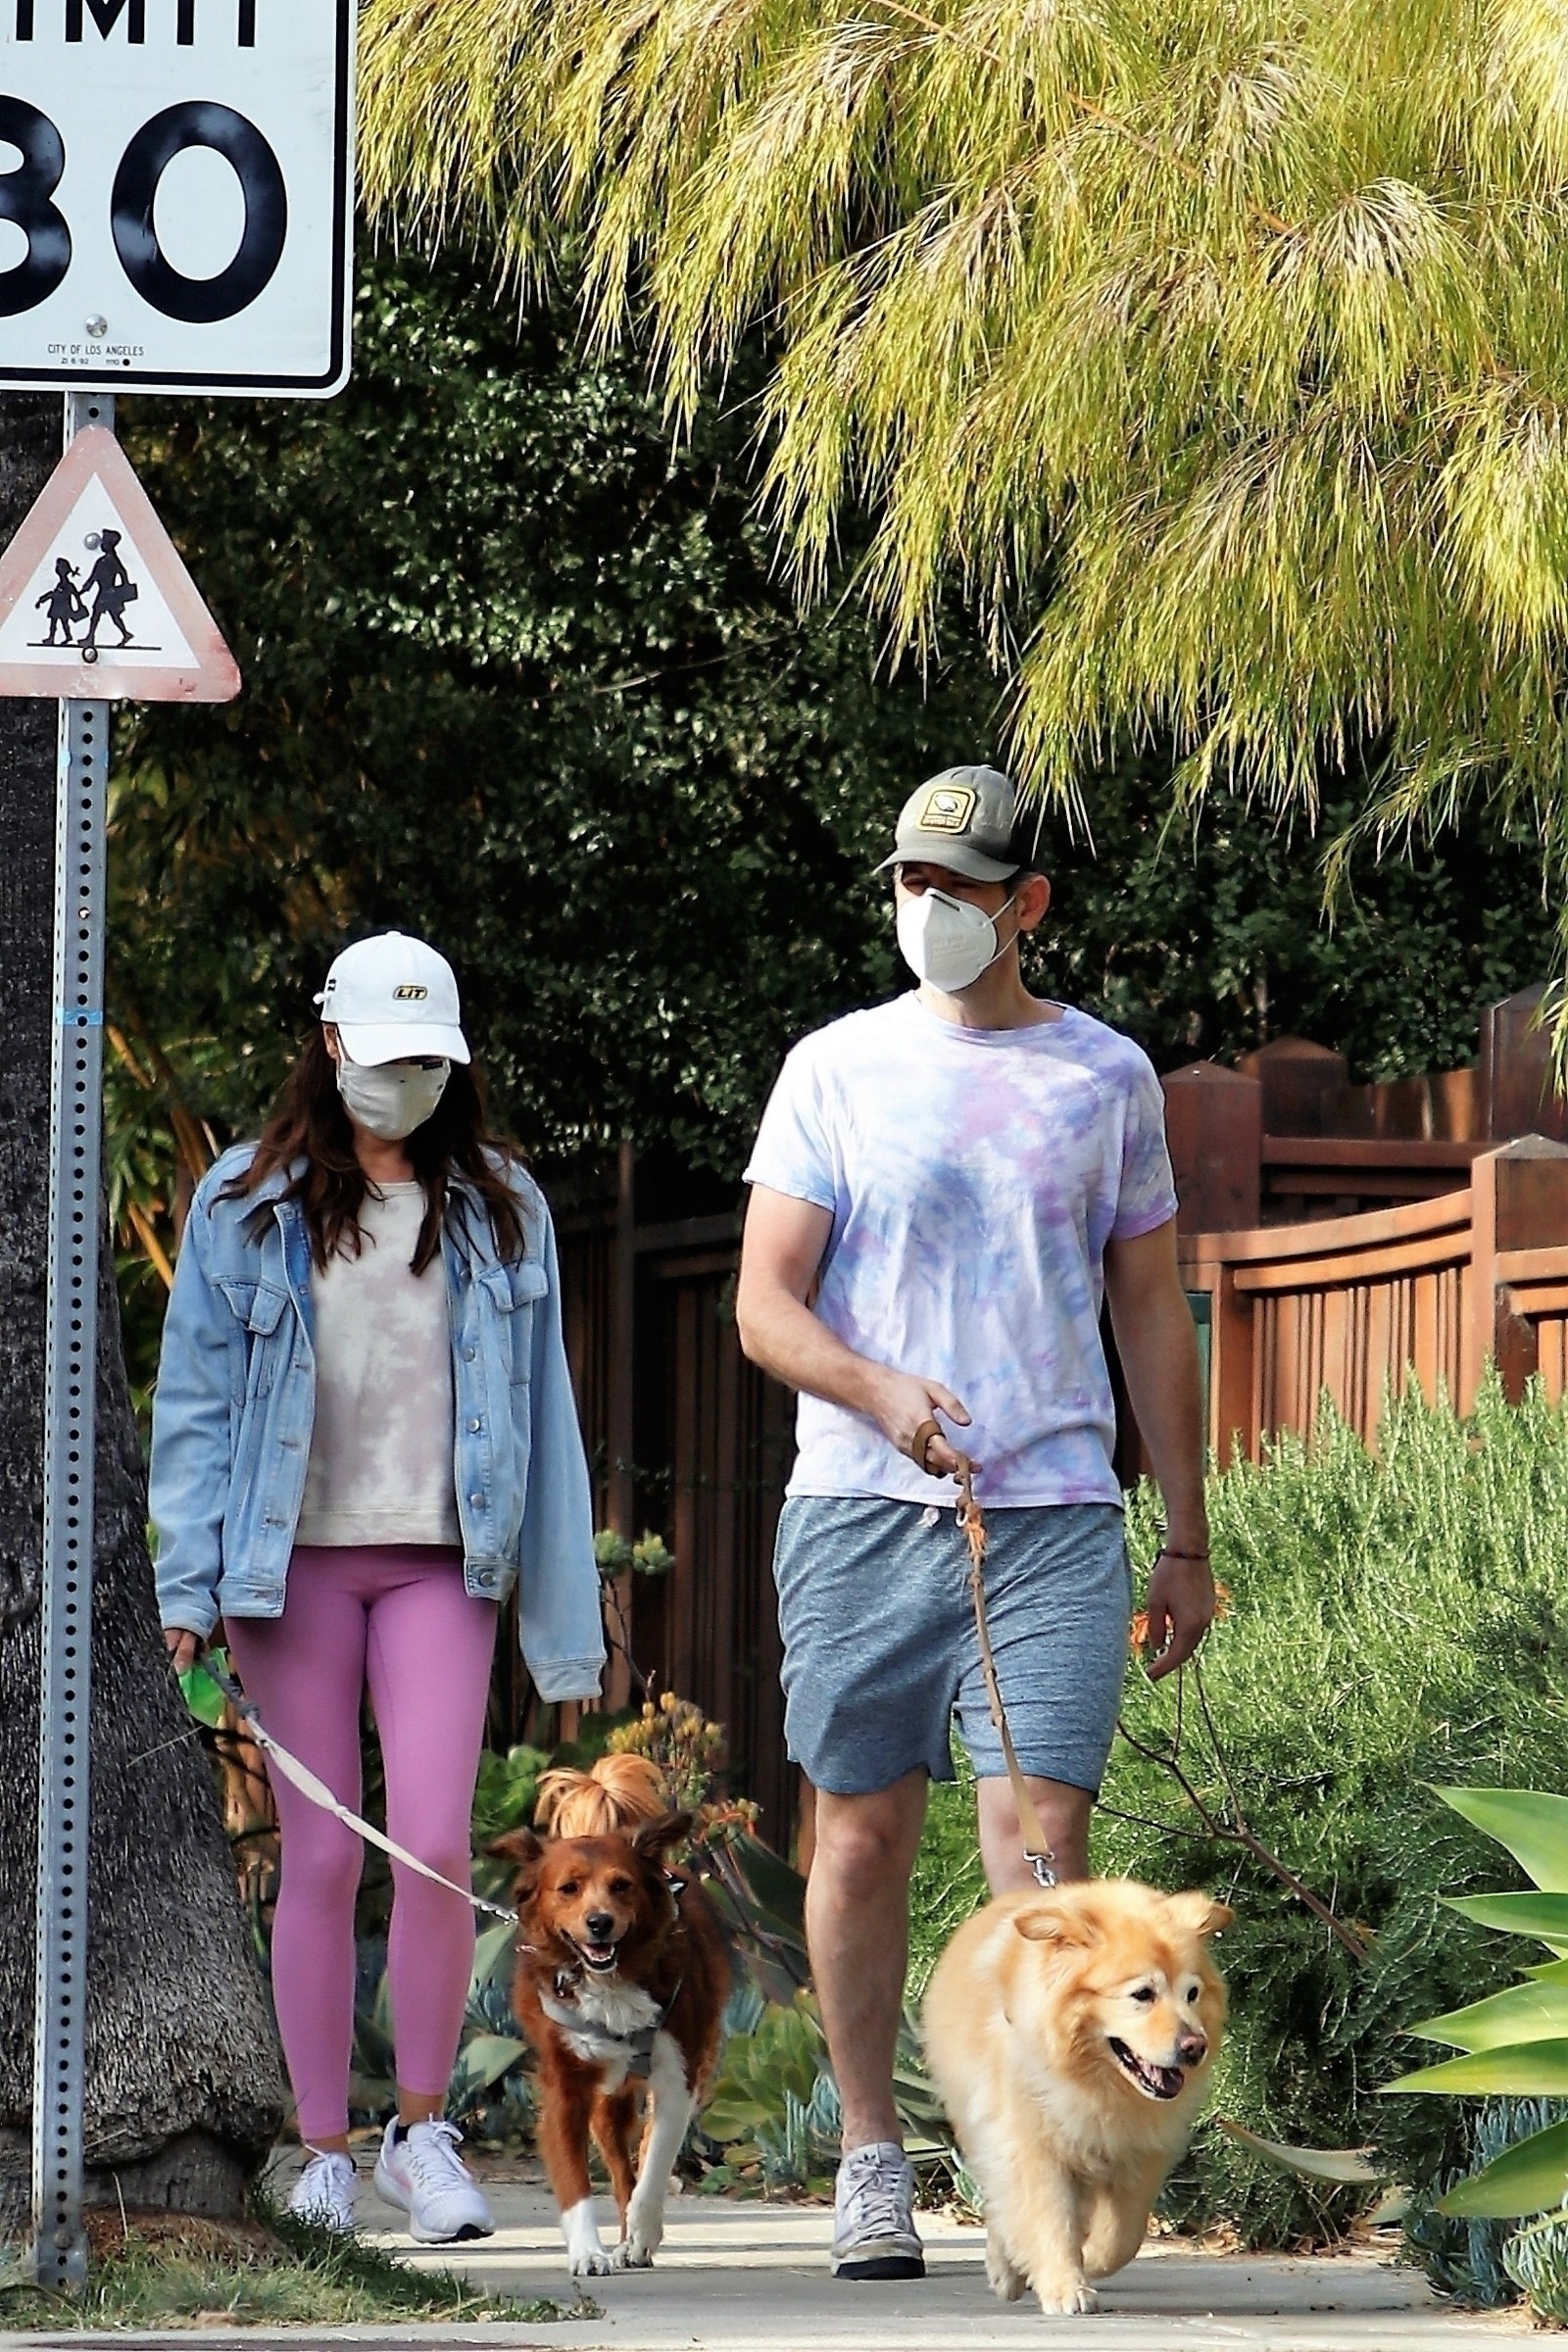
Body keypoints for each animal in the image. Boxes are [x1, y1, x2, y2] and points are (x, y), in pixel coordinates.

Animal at [493, 1801, 727, 2277]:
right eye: (568, 1889)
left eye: (622, 1885)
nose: (599, 1923)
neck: (611, 1982)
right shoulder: (564, 2089)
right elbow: (574, 2183)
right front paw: (587, 2252)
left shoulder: (678, 2078)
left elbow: (653, 2166)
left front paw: (641, 2233)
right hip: (605, 2106)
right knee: (620, 2170)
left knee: (637, 2164)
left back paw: (633, 2241)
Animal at [922, 1878, 1231, 2316]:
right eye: (1142, 1994)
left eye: (1192, 1993)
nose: (1195, 2047)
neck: (1096, 2082)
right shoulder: (1032, 2148)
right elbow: (1048, 2220)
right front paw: (1065, 2288)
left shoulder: (1140, 2154)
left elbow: (1122, 2236)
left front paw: (1091, 2260)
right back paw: (1005, 2270)